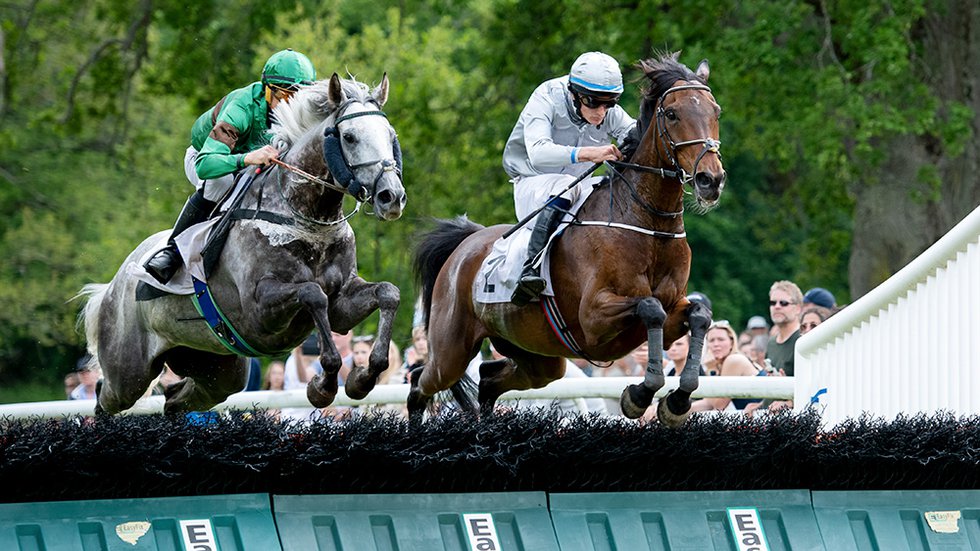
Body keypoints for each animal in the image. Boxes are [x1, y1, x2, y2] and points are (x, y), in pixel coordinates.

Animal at [78, 74, 408, 418]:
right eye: (349, 137)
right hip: (128, 372)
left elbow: (388, 293)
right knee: (104, 395)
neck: (306, 219)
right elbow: (312, 293)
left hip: (217, 368)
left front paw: (362, 377)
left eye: (390, 135)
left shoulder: (341, 302)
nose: (392, 197)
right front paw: (323, 386)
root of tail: (111, 288)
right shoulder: (259, 310)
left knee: (175, 399)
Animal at [410, 54, 724, 426]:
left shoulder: (673, 307)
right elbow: (650, 308)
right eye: (672, 114)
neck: (648, 226)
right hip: (451, 352)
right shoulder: (594, 319)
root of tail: (464, 245)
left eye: (715, 111)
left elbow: (699, 315)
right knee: (419, 383)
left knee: (487, 379)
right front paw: (639, 394)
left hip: (539, 357)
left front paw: (676, 401)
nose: (710, 180)